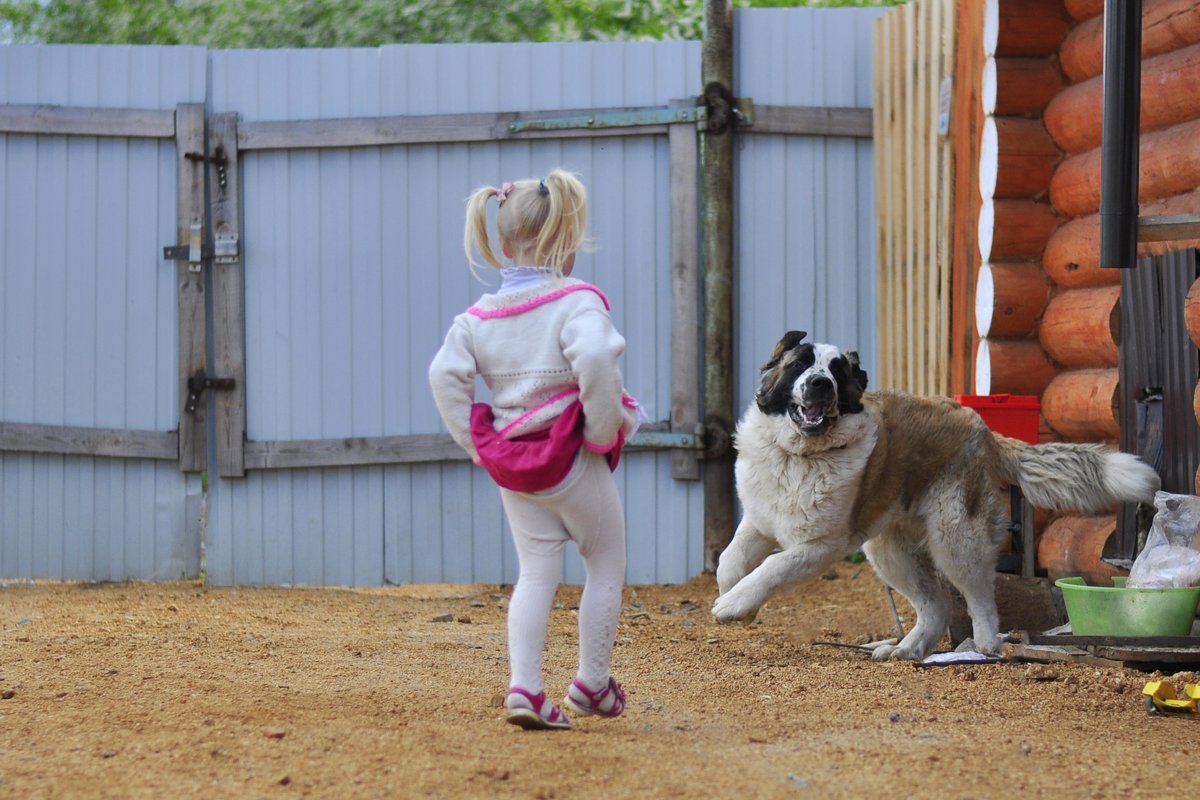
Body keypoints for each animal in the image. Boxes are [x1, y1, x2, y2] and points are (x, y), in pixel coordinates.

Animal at [710, 328, 1161, 662]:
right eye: (800, 365)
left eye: (837, 372)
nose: (820, 384)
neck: (799, 455)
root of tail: (982, 428)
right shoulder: (759, 520)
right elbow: (728, 560)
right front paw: (739, 602)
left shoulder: (821, 544)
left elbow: (771, 567)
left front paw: (733, 605)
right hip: (890, 551)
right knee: (937, 604)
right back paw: (908, 649)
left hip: (954, 538)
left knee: (979, 595)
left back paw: (986, 646)